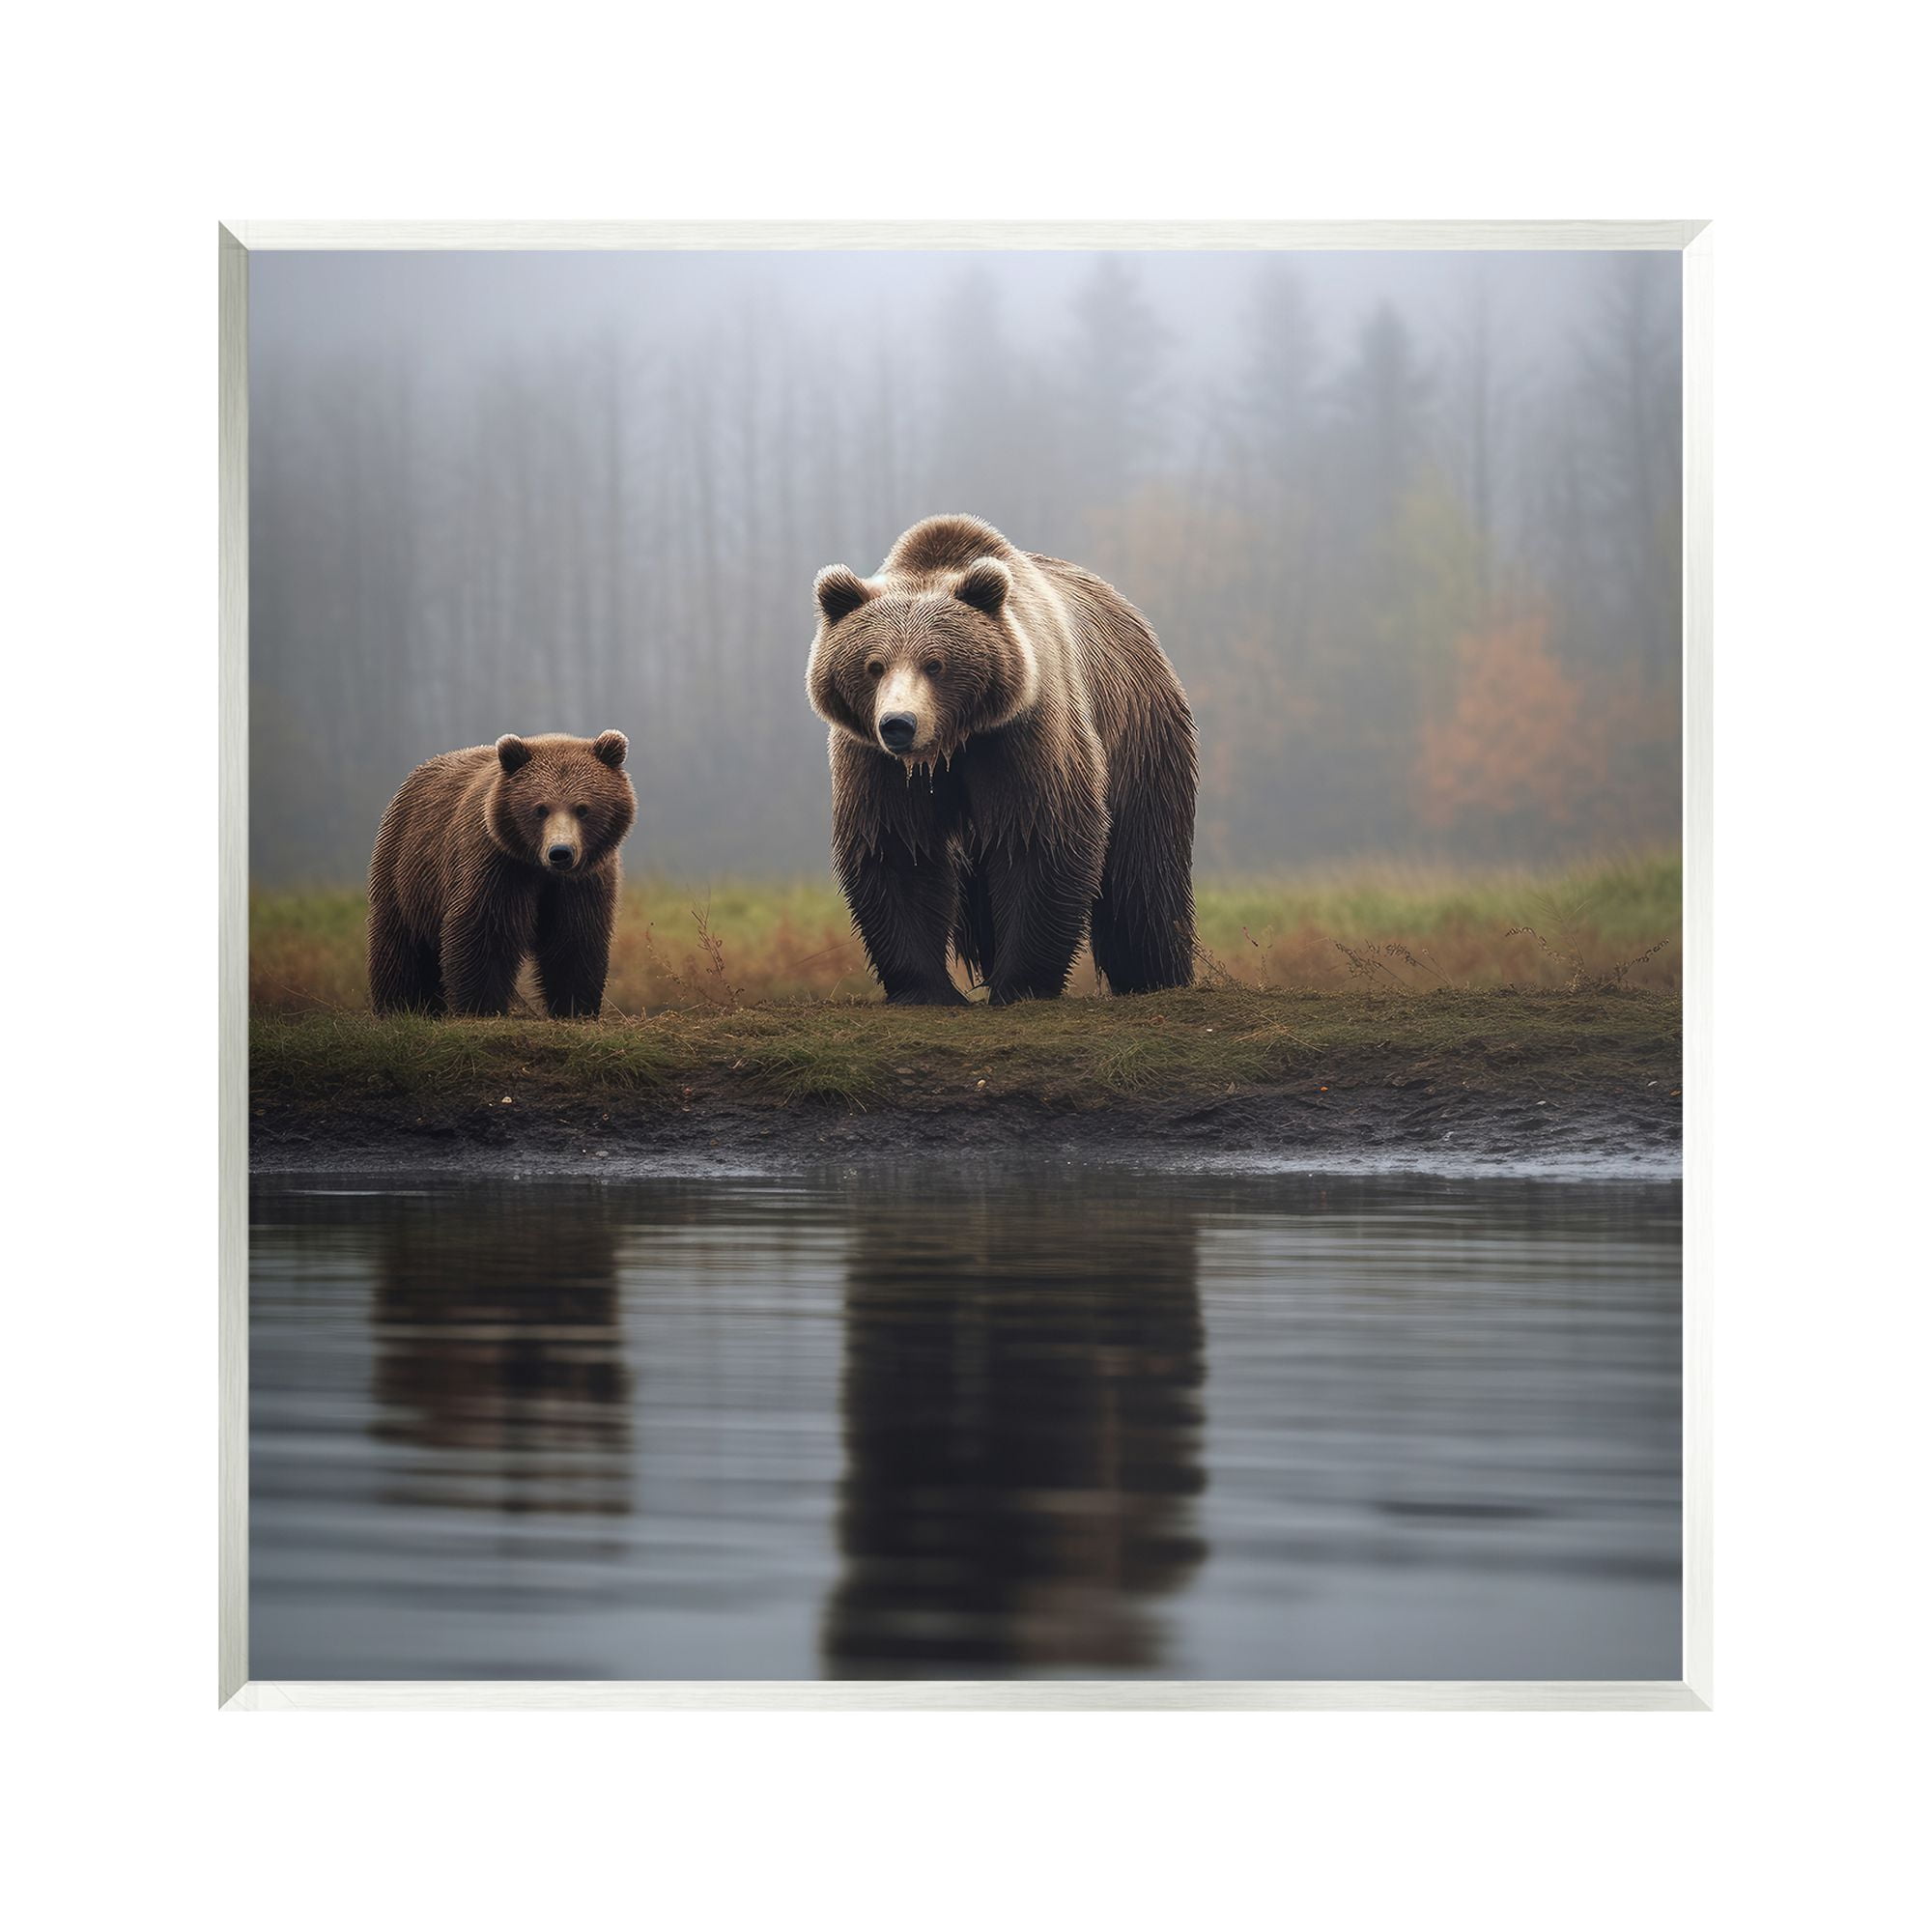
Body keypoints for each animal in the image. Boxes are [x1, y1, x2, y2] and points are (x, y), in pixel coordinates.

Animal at [367, 730, 635, 1017]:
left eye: (582, 808)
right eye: (540, 809)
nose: (560, 852)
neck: (539, 869)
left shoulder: (581, 881)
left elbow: (575, 938)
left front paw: (575, 1007)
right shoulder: (498, 867)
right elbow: (484, 932)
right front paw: (481, 1006)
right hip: (405, 873)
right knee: (401, 948)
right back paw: (400, 1005)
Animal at [806, 514, 1196, 1005]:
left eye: (935, 664)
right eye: (874, 665)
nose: (899, 724)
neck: (952, 744)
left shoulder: (1023, 735)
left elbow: (1040, 836)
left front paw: (1020, 983)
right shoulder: (877, 763)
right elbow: (897, 845)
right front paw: (927, 988)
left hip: (1140, 734)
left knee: (1144, 869)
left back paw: (1154, 974)